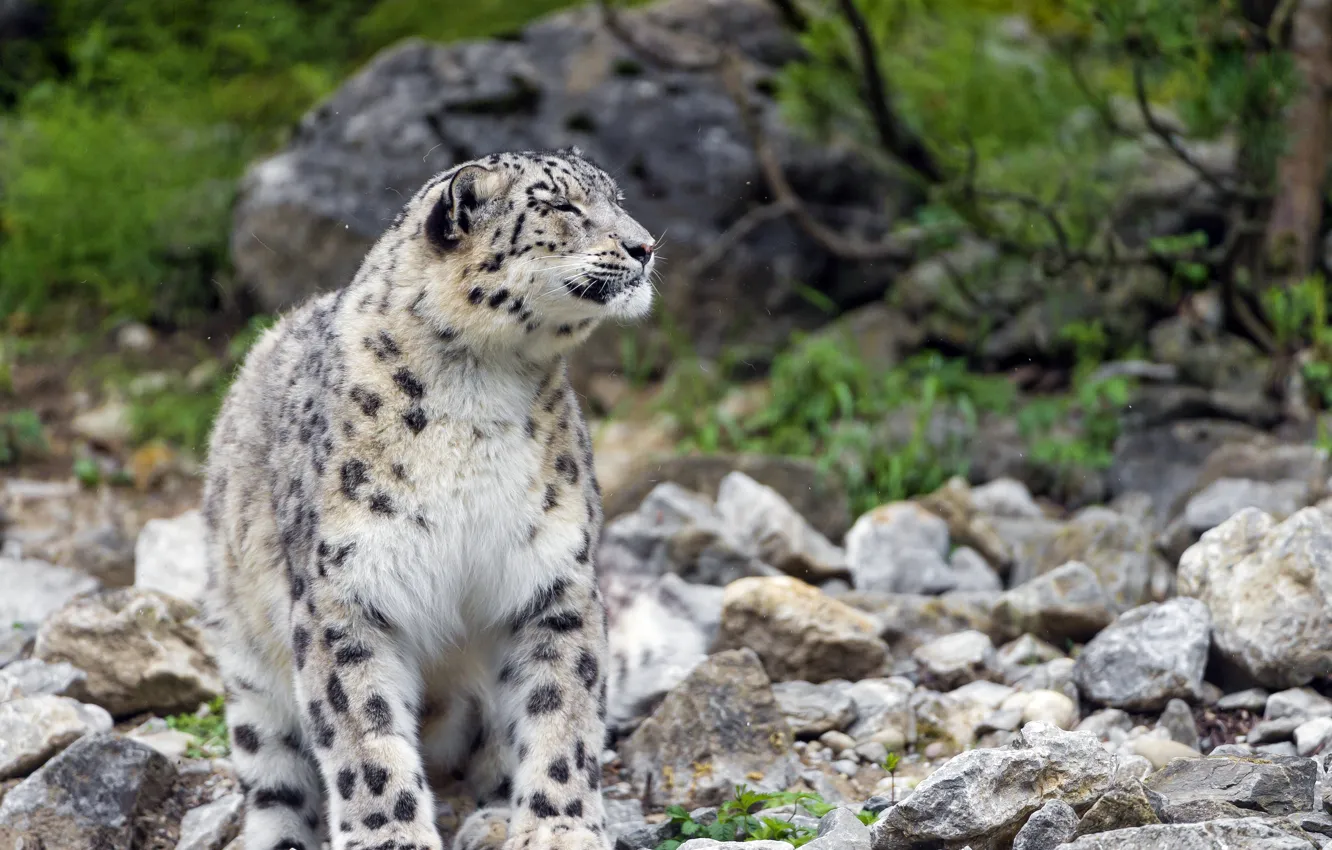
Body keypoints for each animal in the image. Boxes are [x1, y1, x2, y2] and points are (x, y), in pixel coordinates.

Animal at [199, 147, 658, 850]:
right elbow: (364, 737)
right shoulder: (347, 594)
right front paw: (389, 836)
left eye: (616, 198)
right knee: (276, 780)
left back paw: (492, 816)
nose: (646, 246)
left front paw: (560, 828)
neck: (479, 391)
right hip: (248, 666)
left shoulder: (552, 579)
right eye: (562, 205)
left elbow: (563, 711)